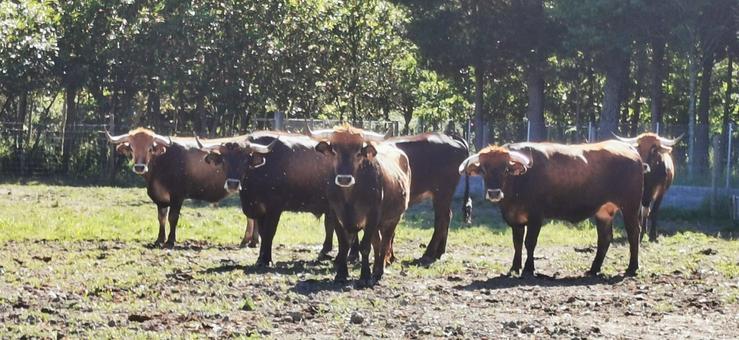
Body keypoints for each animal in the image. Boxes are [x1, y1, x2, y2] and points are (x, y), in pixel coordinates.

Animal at [106, 127, 243, 247]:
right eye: (132, 147)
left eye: (150, 148)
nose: (139, 167)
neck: (161, 163)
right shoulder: (160, 198)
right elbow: (161, 217)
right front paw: (159, 239)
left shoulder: (177, 196)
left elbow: (172, 217)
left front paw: (170, 241)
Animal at [197, 131, 338, 266]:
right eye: (224, 160)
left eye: (245, 160)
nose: (232, 184)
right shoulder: (259, 209)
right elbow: (262, 233)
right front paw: (261, 259)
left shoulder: (274, 208)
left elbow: (269, 232)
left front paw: (267, 260)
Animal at [310, 125, 414, 284]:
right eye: (334, 151)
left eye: (359, 152)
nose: (344, 179)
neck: (349, 197)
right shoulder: (336, 215)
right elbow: (344, 245)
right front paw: (341, 274)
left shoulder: (372, 216)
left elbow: (365, 246)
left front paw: (365, 275)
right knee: (377, 242)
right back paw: (376, 268)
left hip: (393, 219)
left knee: (385, 242)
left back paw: (379, 271)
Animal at [460, 141, 644, 276]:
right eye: (484, 170)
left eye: (505, 169)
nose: (494, 193)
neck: (520, 181)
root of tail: (631, 151)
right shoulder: (516, 220)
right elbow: (517, 243)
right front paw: (514, 268)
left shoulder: (536, 217)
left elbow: (530, 242)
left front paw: (528, 269)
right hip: (604, 211)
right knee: (604, 238)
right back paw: (593, 269)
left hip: (630, 206)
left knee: (634, 233)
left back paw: (632, 268)